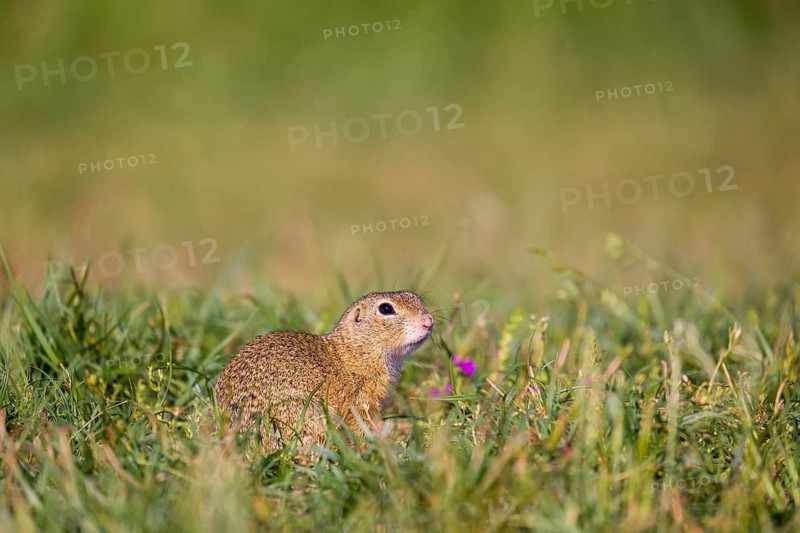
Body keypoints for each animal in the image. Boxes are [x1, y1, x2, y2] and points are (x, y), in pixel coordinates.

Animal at [214, 291, 434, 450]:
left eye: (417, 298)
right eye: (386, 308)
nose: (429, 321)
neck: (355, 351)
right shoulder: (358, 400)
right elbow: (360, 424)